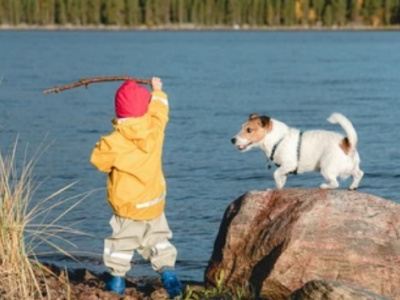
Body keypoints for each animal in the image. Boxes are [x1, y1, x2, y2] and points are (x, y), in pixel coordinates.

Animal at [230, 112, 364, 190]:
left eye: (249, 130)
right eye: (242, 127)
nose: (232, 140)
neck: (277, 139)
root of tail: (347, 143)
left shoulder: (289, 164)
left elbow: (276, 174)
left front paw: (277, 184)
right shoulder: (285, 168)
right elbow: (281, 177)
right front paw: (279, 186)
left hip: (326, 168)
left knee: (335, 183)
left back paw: (324, 186)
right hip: (351, 167)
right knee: (359, 174)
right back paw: (353, 186)